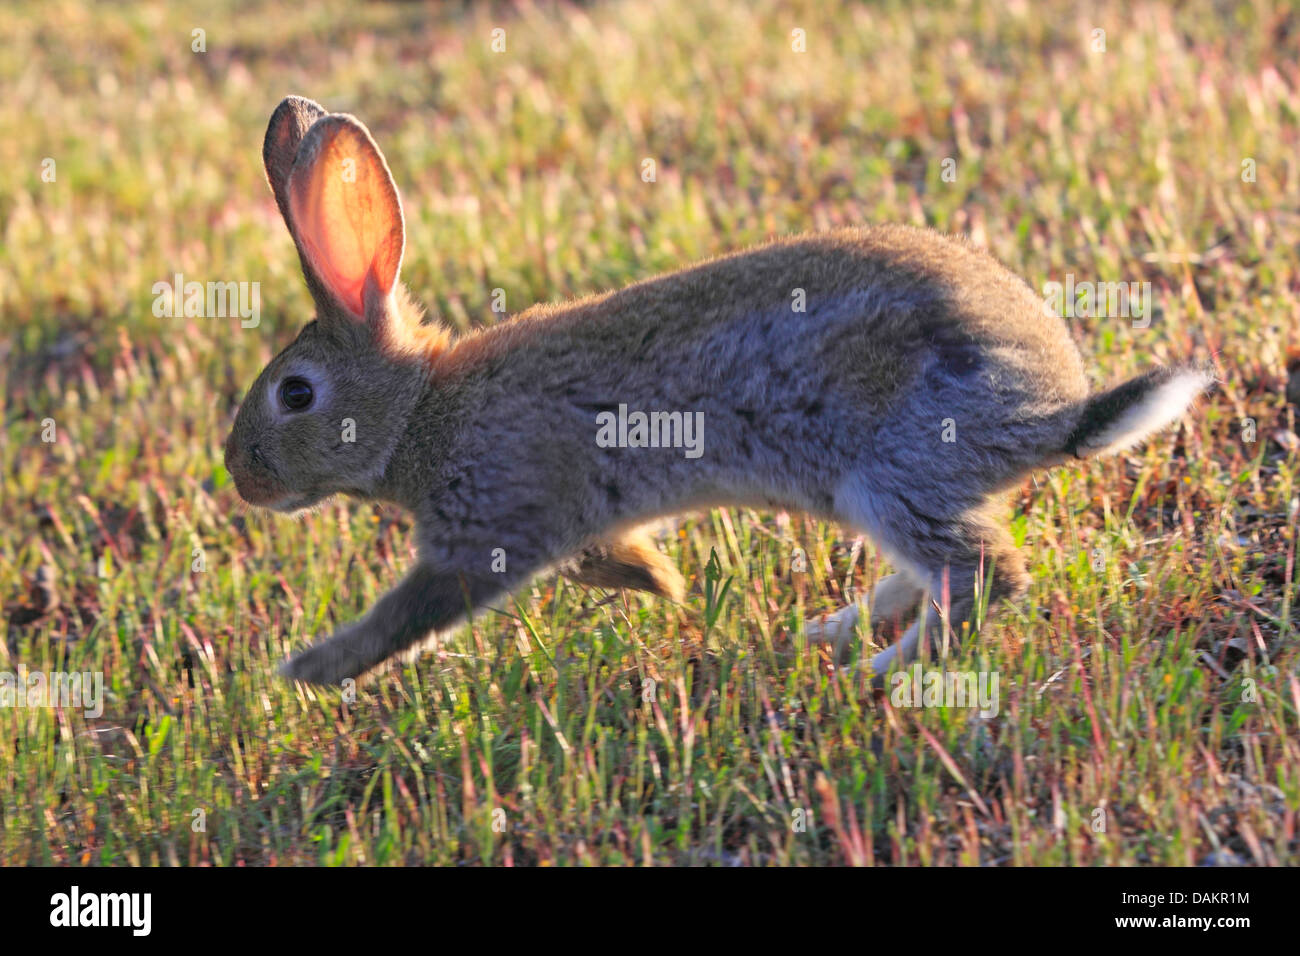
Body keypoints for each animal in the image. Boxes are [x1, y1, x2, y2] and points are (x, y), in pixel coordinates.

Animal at [226, 97, 1216, 686]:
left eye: (296, 395)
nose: (242, 478)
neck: (420, 411)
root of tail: (1055, 415)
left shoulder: (489, 525)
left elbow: (410, 615)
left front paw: (306, 671)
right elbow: (610, 557)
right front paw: (660, 582)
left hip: (893, 471)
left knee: (983, 579)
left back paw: (870, 676)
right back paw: (828, 636)